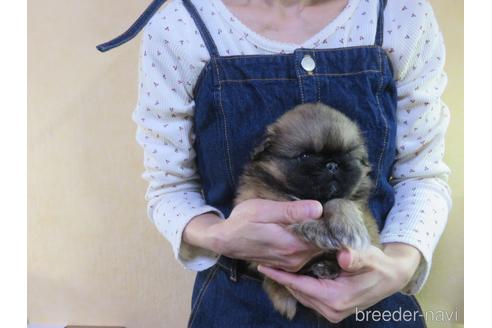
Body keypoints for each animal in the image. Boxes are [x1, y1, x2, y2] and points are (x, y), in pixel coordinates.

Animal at [234, 103, 380, 320]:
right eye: (305, 156)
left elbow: (339, 201)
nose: (332, 164)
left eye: (346, 155)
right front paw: (314, 229)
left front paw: (343, 223)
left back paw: (325, 268)